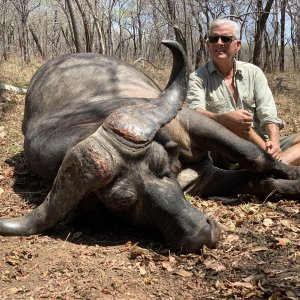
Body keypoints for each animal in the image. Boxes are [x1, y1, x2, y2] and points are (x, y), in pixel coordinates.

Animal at [0, 39, 300, 251]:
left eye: (161, 168)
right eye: (122, 201)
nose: (202, 233)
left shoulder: (191, 121)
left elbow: (255, 158)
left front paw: (293, 174)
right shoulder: (206, 180)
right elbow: (259, 182)